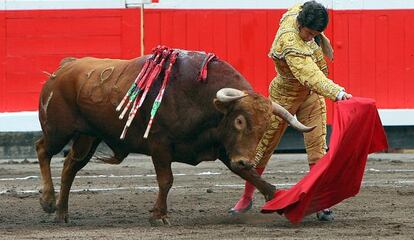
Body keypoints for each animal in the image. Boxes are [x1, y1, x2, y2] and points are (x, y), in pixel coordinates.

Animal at [36, 49, 314, 225]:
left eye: (265, 126)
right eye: (239, 120)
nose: (246, 159)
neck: (201, 97)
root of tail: (65, 67)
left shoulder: (223, 147)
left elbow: (251, 175)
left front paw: (280, 199)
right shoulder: (160, 145)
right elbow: (166, 180)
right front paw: (159, 216)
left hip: (87, 138)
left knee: (70, 166)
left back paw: (61, 213)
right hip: (58, 131)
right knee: (42, 149)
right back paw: (48, 201)